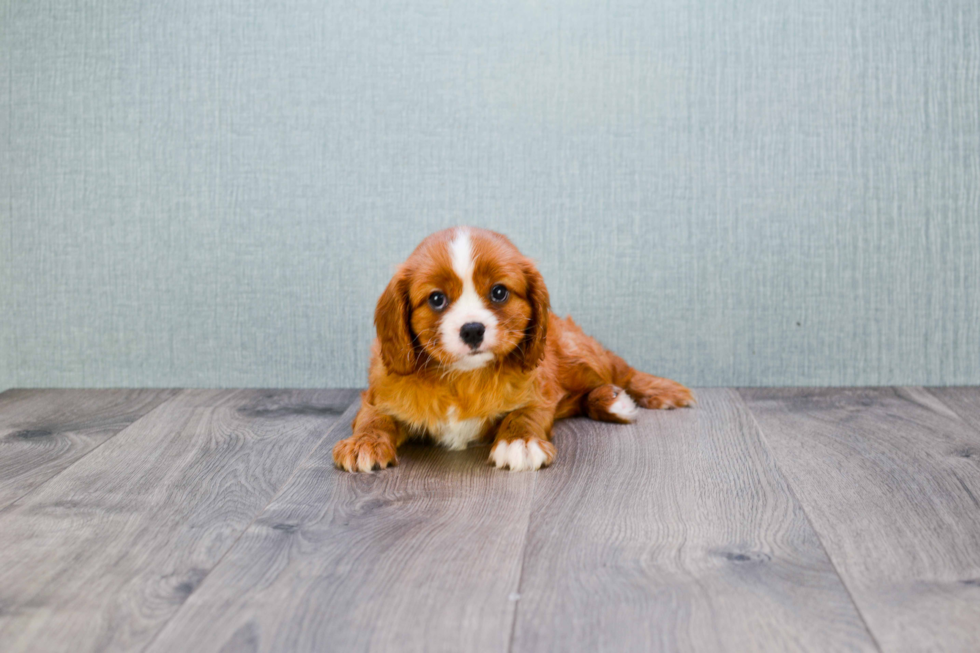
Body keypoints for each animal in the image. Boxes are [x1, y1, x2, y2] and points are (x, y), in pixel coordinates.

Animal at [334, 227, 692, 472]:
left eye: (499, 292)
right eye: (436, 299)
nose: (472, 329)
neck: (462, 378)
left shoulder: (538, 391)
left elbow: (525, 413)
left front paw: (520, 441)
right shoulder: (381, 394)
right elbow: (372, 417)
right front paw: (363, 443)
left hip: (581, 354)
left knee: (620, 369)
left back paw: (655, 392)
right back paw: (610, 400)